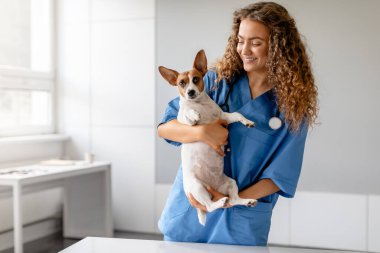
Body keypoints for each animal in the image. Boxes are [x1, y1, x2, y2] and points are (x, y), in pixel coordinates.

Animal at [157, 50, 258, 225]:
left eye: (196, 79)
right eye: (181, 83)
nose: (190, 92)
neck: (200, 104)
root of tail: (214, 189)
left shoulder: (223, 117)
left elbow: (237, 114)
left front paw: (248, 122)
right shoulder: (188, 124)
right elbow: (188, 114)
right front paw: (193, 113)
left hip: (231, 183)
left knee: (233, 200)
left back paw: (246, 201)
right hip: (198, 187)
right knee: (210, 207)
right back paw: (220, 201)